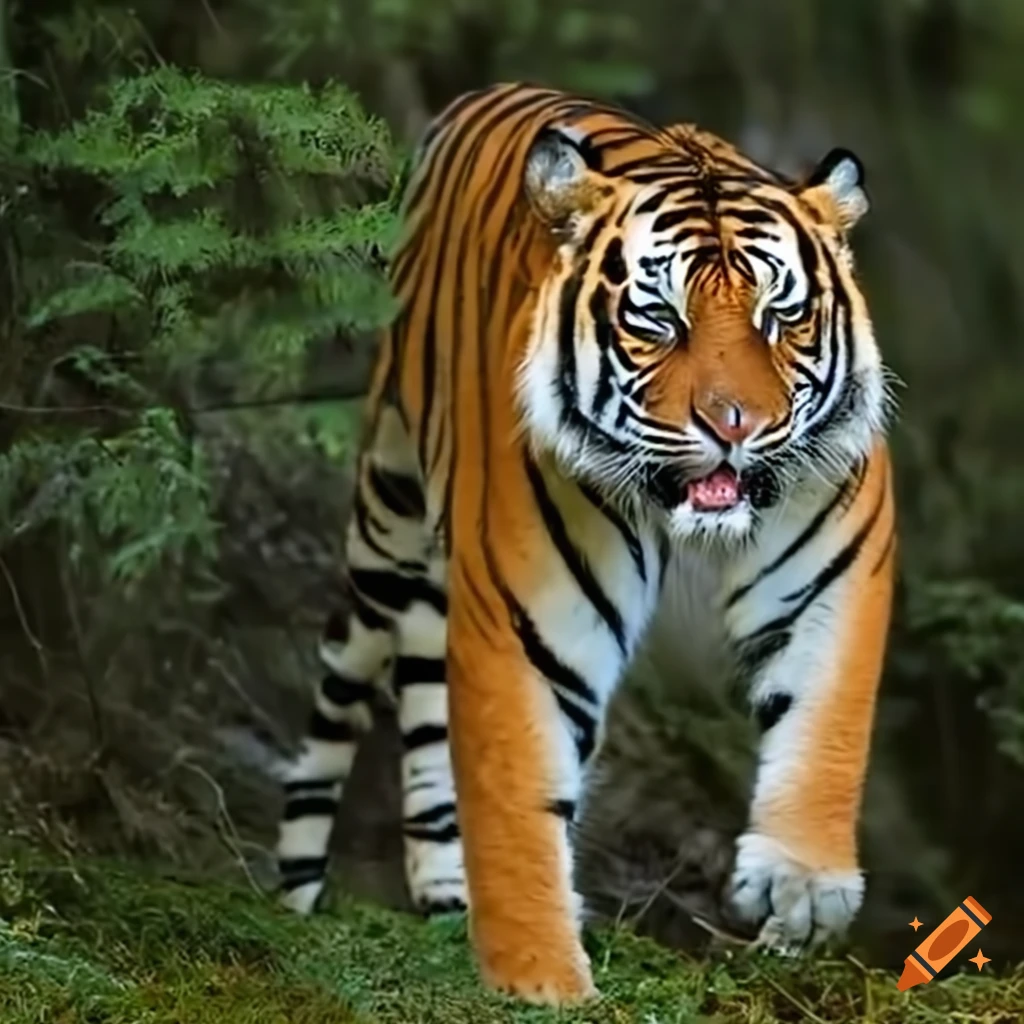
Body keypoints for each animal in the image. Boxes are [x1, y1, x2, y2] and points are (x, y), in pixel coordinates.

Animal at [274, 81, 897, 1004]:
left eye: (780, 315)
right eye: (660, 318)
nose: (735, 425)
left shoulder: (834, 575)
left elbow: (826, 724)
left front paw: (800, 887)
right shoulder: (529, 618)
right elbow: (517, 796)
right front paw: (539, 979)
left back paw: (446, 896)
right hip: (387, 526)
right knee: (342, 692)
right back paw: (294, 893)